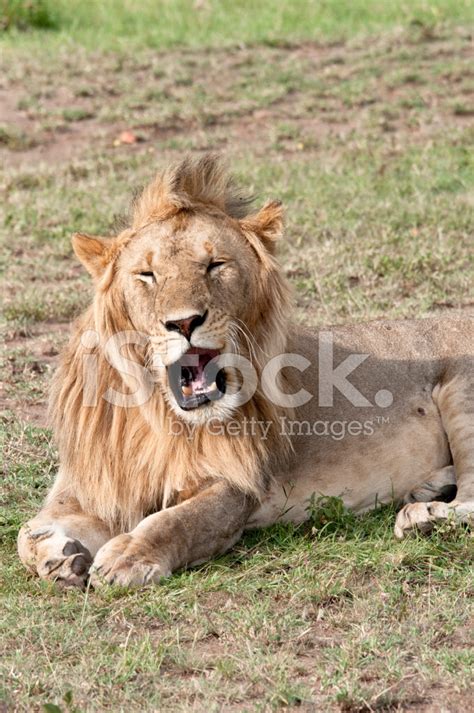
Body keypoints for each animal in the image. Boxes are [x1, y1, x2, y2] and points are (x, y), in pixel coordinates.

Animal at [16, 153, 472, 588]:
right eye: (147, 274)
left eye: (215, 264)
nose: (184, 322)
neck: (157, 415)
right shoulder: (91, 481)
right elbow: (27, 531)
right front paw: (59, 557)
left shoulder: (236, 485)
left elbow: (176, 521)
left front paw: (128, 558)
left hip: (460, 392)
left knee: (469, 501)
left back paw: (424, 516)